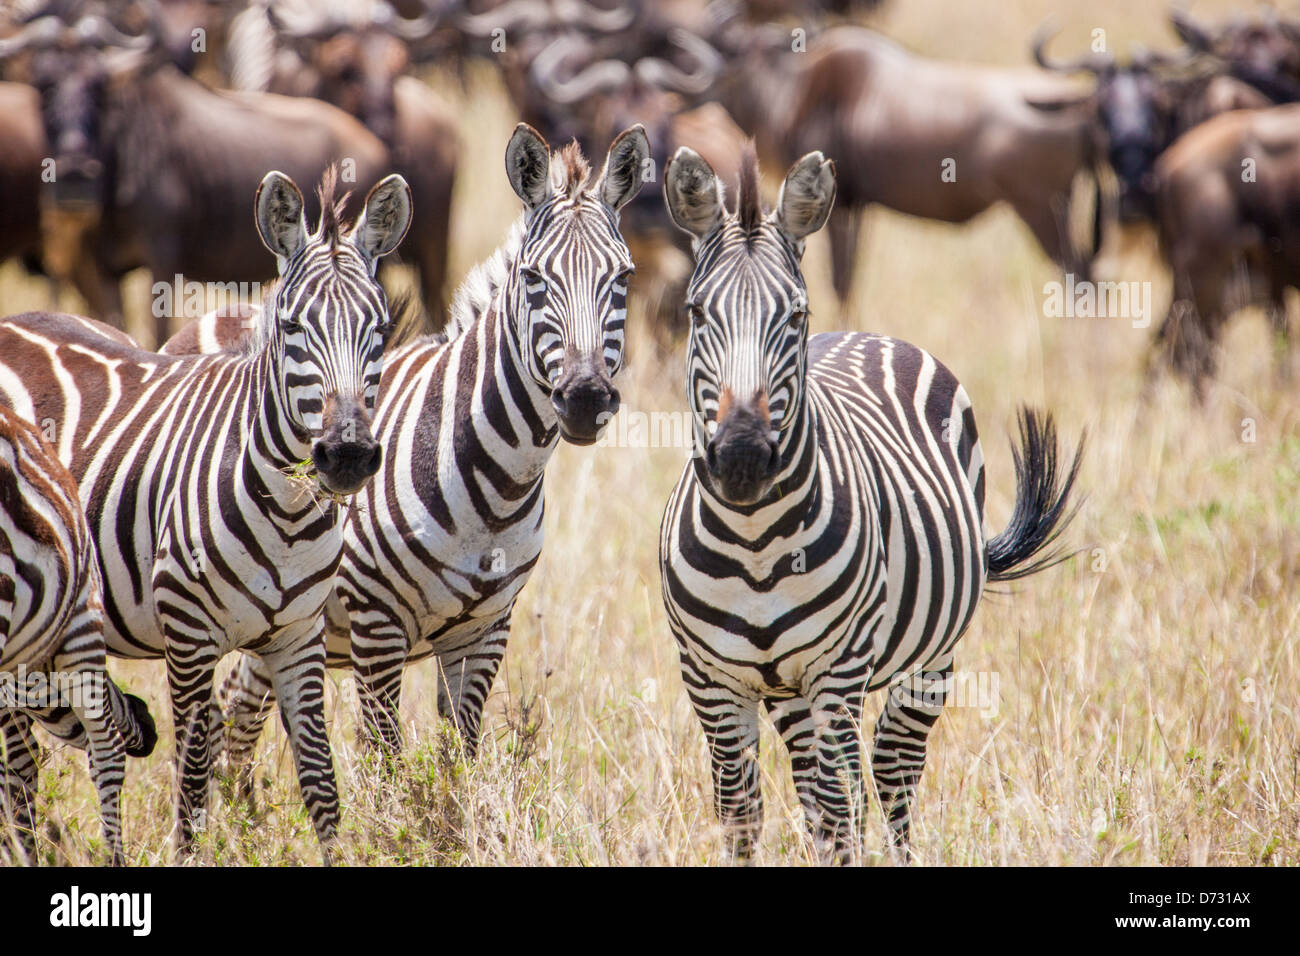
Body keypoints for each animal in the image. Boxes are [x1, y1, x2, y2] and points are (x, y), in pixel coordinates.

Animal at [189, 124, 651, 785]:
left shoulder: (486, 628)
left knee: (239, 703)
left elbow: (459, 756)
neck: (498, 485)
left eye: (624, 279)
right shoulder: (376, 623)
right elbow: (388, 763)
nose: (586, 398)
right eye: (534, 279)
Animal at [658, 145, 1083, 861]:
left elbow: (837, 813)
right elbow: (741, 814)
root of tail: (865, 334)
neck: (754, 540)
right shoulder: (710, 680)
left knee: (888, 766)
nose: (741, 459)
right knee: (830, 782)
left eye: (796, 317)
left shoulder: (837, 670)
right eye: (695, 313)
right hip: (791, 691)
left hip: (925, 662)